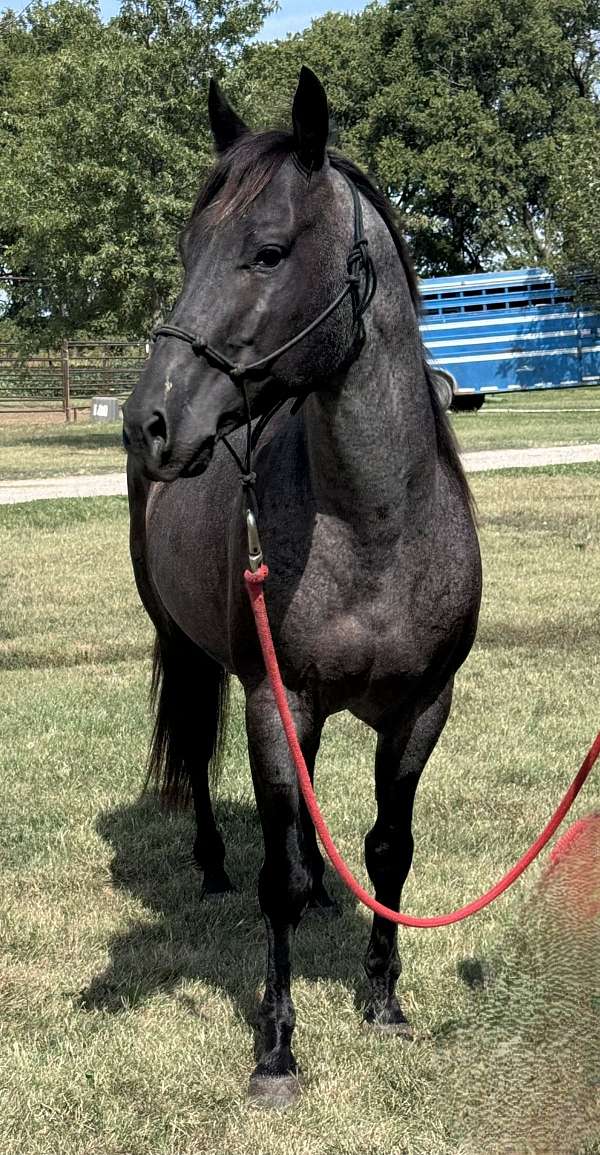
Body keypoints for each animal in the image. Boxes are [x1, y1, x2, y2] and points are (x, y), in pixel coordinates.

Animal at [123, 65, 483, 1108]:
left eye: (270, 251)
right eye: (188, 248)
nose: (149, 422)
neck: (373, 528)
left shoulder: (423, 708)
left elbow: (389, 849)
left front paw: (383, 999)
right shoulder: (268, 701)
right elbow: (274, 877)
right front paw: (277, 1049)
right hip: (189, 648)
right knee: (197, 756)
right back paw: (211, 867)